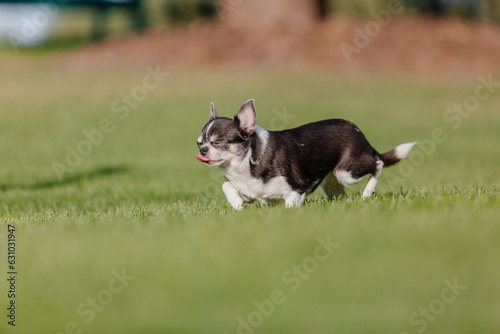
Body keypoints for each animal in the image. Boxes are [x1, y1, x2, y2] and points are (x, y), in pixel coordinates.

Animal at [195, 98, 414, 210]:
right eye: (199, 143)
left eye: (217, 142)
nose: (203, 150)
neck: (247, 160)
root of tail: (359, 132)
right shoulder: (247, 191)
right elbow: (226, 185)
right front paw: (236, 203)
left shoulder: (296, 190)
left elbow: (290, 205)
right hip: (332, 183)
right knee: (343, 195)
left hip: (348, 172)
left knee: (378, 164)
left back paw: (367, 192)